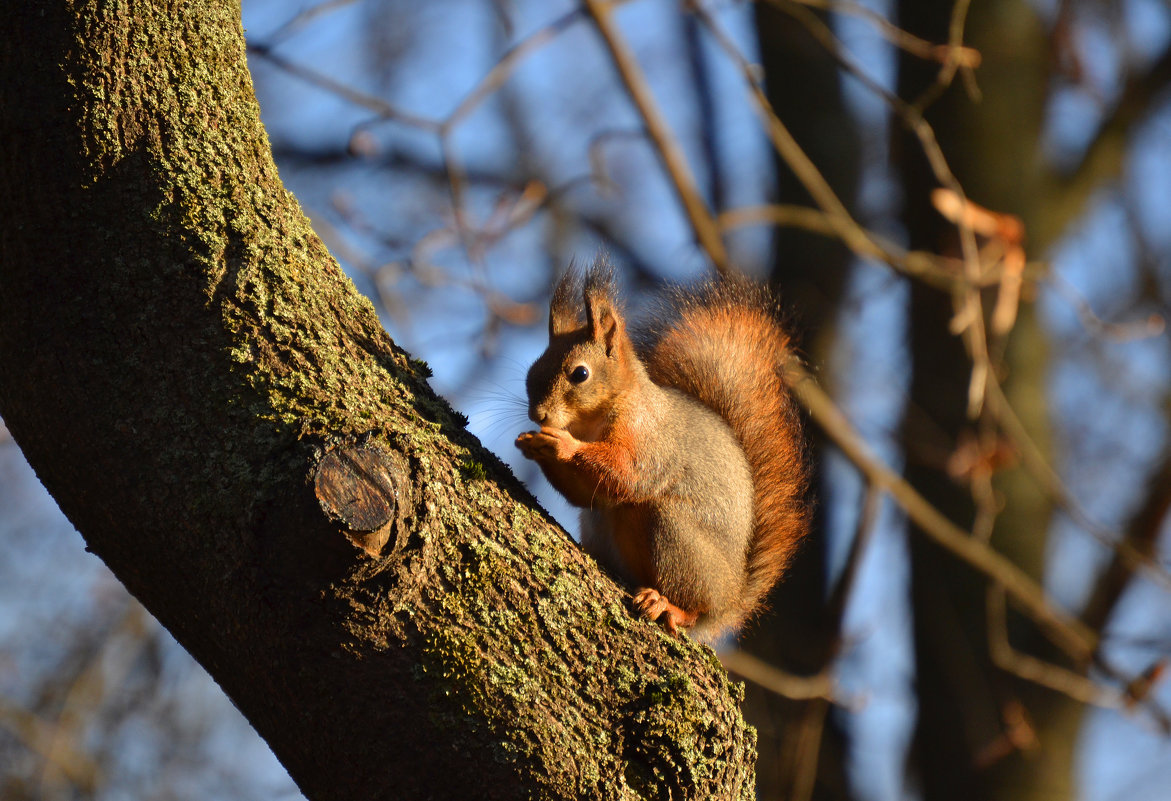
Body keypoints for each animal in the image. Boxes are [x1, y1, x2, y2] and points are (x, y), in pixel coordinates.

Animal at [517, 259, 810, 641]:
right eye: (531, 372)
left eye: (579, 374)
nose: (538, 415)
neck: (591, 422)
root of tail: (730, 603)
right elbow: (588, 495)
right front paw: (533, 444)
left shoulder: (649, 439)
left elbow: (627, 475)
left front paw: (562, 444)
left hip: (678, 540)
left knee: (693, 606)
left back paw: (669, 605)